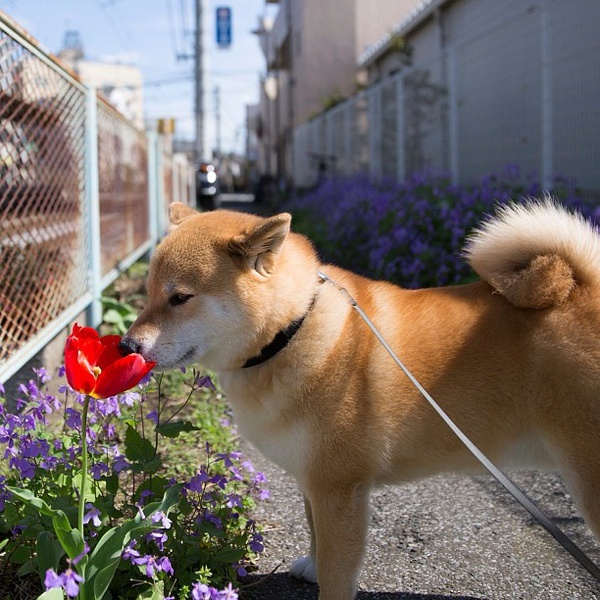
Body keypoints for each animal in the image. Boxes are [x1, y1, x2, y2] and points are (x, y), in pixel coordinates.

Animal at [120, 200, 600, 600]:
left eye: (180, 297)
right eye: (148, 293)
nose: (126, 344)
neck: (291, 330)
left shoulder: (339, 487)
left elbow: (337, 569)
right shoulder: (313, 479)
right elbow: (314, 532)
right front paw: (312, 566)